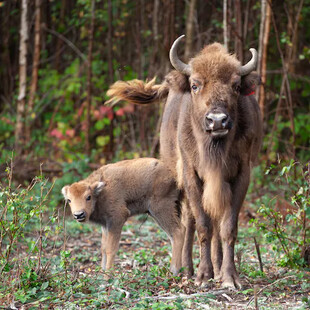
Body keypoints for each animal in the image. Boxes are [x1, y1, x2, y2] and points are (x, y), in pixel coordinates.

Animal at [108, 35, 262, 290]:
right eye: (195, 85)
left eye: (236, 86)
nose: (217, 121)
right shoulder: (191, 175)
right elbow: (202, 225)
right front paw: (203, 276)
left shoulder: (241, 175)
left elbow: (228, 227)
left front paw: (229, 278)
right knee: (189, 222)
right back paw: (188, 270)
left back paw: (217, 269)